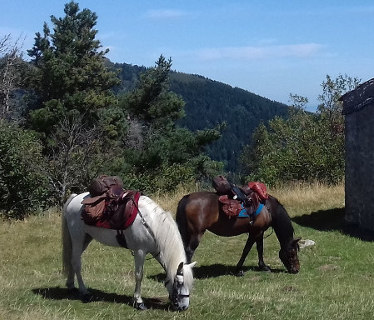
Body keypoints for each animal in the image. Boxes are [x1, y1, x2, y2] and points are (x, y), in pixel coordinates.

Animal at [62, 191, 196, 312]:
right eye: (179, 283)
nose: (184, 307)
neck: (152, 224)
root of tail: (75, 198)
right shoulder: (140, 251)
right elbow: (138, 275)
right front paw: (138, 301)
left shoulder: (155, 251)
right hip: (78, 238)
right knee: (76, 263)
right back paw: (84, 291)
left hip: (86, 238)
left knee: (72, 260)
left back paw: (71, 285)